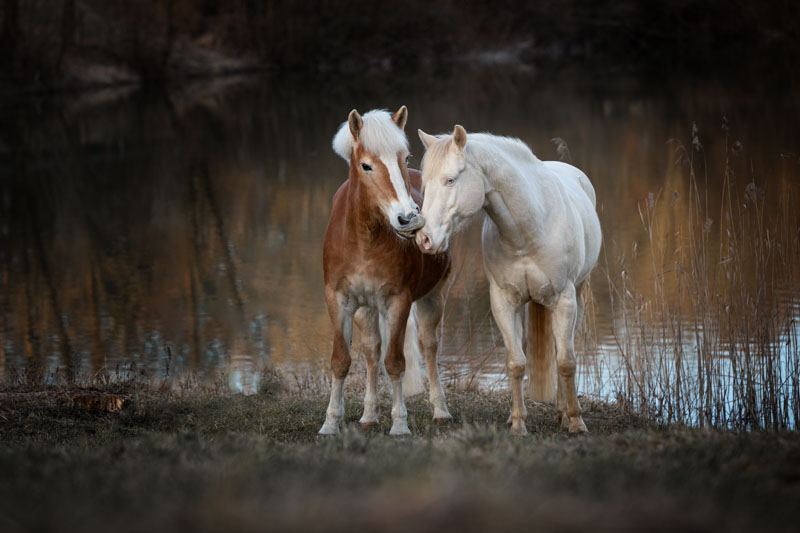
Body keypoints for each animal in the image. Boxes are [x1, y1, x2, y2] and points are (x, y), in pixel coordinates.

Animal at [322, 106, 454, 434]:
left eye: (404, 159)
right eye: (366, 166)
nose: (408, 218)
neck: (363, 241)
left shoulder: (399, 302)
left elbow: (396, 363)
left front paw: (399, 425)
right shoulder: (339, 301)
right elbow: (341, 361)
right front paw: (330, 424)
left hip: (433, 297)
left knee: (429, 347)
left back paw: (441, 410)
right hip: (366, 310)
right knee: (372, 353)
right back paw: (368, 416)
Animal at [416, 127, 596, 434]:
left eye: (450, 179)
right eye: (424, 183)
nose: (424, 240)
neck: (528, 230)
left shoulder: (564, 300)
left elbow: (566, 362)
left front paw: (576, 421)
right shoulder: (503, 301)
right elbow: (516, 363)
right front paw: (518, 424)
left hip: (578, 298)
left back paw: (564, 413)